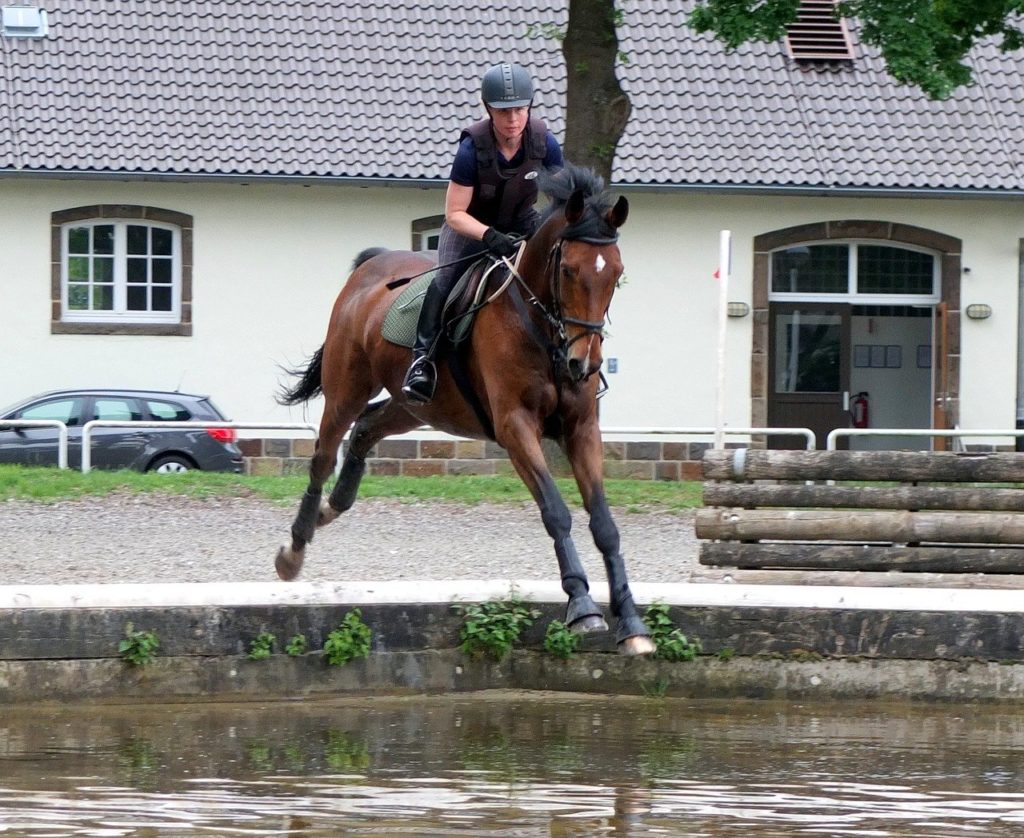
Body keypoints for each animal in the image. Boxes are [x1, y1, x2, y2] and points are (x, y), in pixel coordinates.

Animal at [276, 162, 651, 655]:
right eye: (568, 270)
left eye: (617, 273)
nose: (582, 364)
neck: (543, 331)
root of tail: (370, 267)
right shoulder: (515, 428)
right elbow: (556, 511)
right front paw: (582, 605)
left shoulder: (582, 428)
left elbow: (605, 524)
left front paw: (631, 621)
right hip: (348, 387)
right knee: (324, 453)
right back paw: (296, 547)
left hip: (418, 405)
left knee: (367, 428)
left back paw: (331, 508)